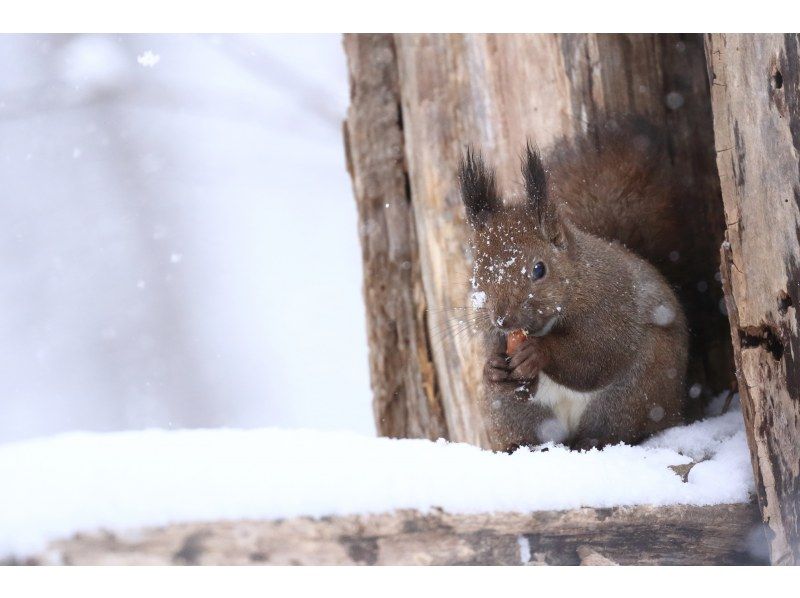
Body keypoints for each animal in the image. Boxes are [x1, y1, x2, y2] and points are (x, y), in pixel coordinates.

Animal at [460, 119, 692, 452]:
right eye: (476, 276)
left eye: (539, 269)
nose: (503, 319)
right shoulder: (494, 337)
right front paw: (492, 369)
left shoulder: (612, 308)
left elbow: (594, 356)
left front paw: (537, 353)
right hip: (511, 413)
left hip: (632, 394)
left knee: (614, 428)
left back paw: (592, 440)